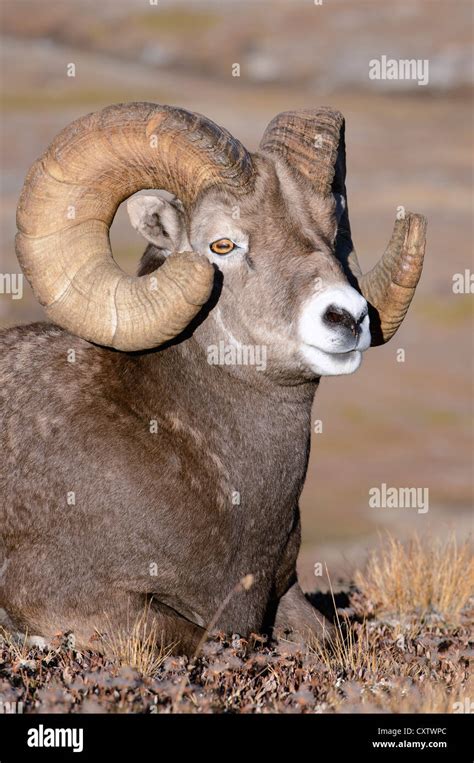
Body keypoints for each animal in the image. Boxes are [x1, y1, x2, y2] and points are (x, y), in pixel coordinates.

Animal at [0, 104, 426, 656]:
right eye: (222, 244)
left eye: (333, 232)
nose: (348, 318)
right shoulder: (70, 596)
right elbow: (188, 635)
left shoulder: (283, 590)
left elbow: (323, 636)